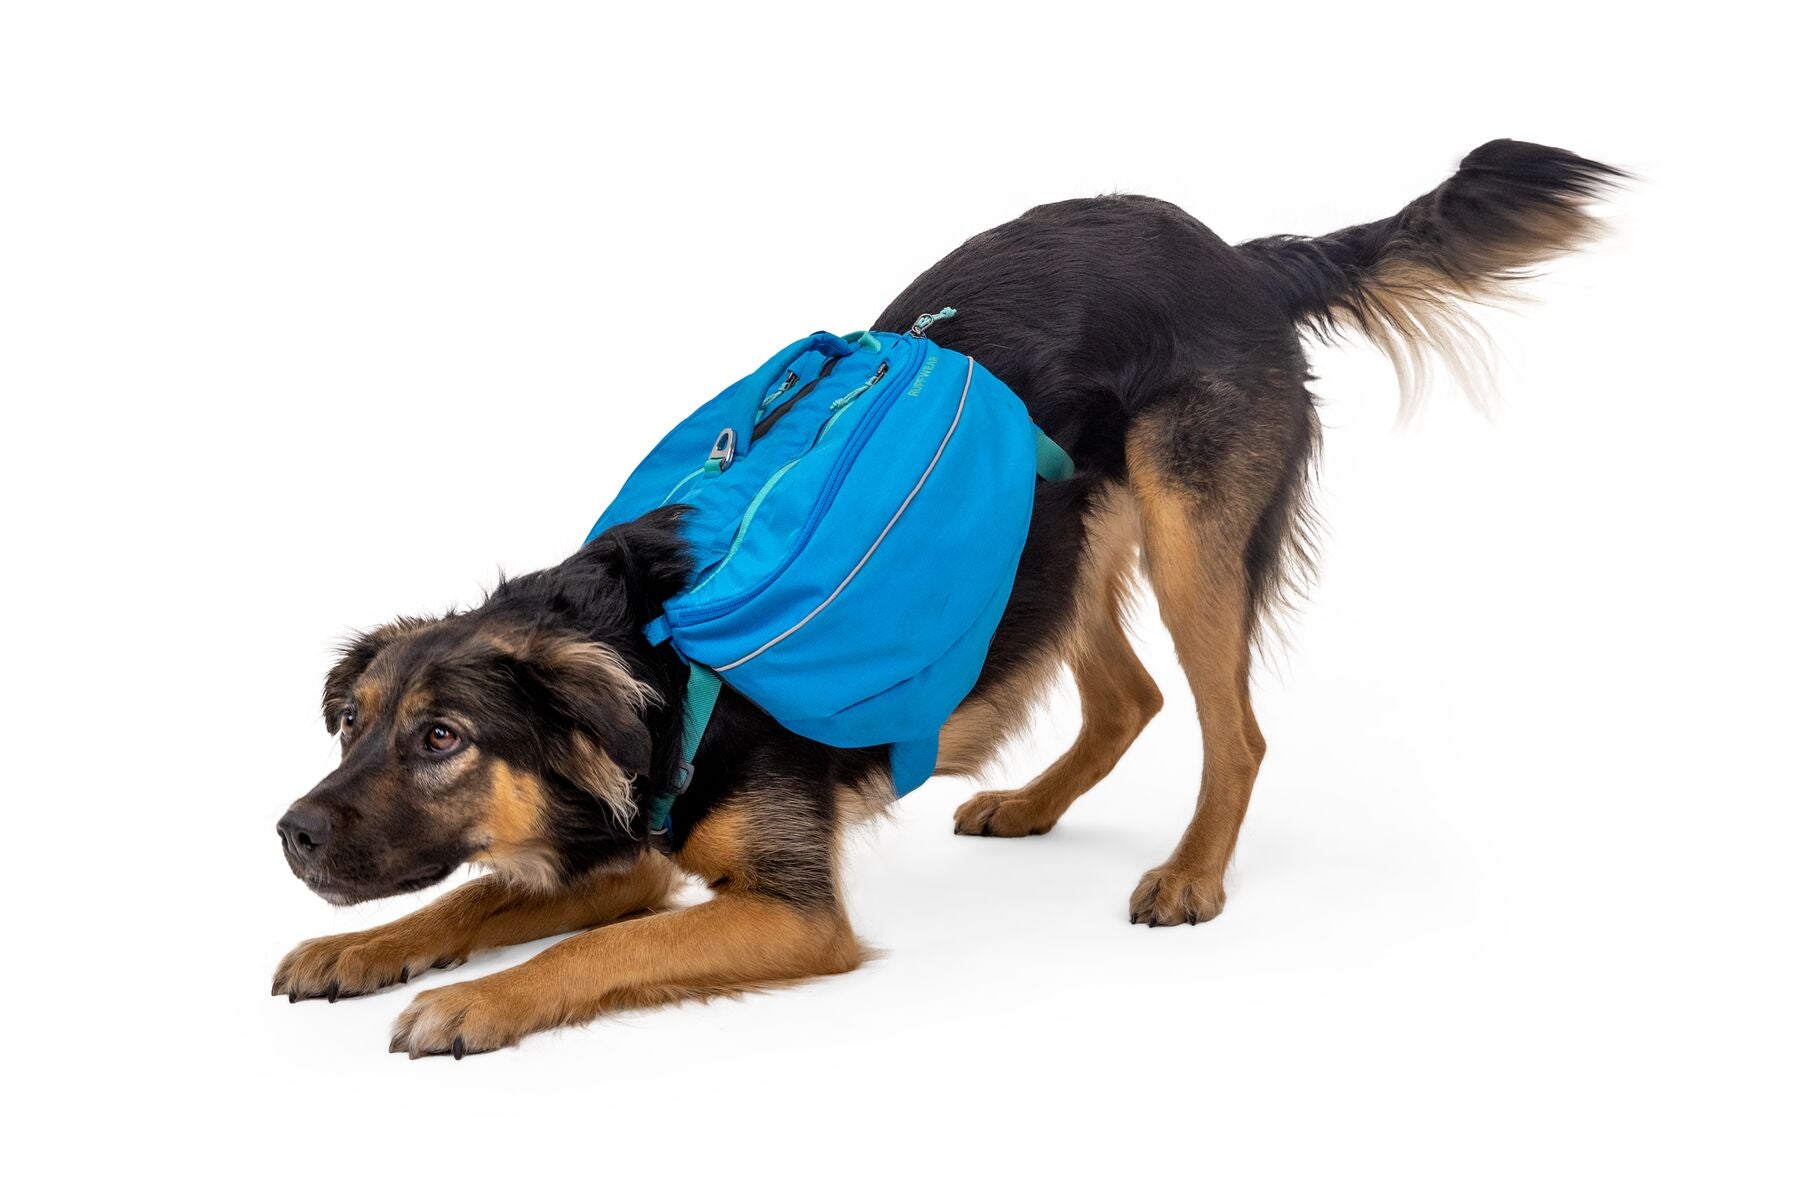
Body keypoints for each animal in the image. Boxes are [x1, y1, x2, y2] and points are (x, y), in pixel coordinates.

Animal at [277, 143, 1620, 1057]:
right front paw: (360, 950)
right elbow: (483, 896)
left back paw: (1191, 874)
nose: (289, 832)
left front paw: (469, 1001)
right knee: (1128, 697)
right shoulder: (631, 848)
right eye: (352, 727)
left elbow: (604, 946)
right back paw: (1032, 805)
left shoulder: (792, 914)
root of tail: (1238, 257)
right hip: (1053, 540)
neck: (650, 654)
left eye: (443, 739)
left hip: (1187, 531)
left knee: (1232, 728)